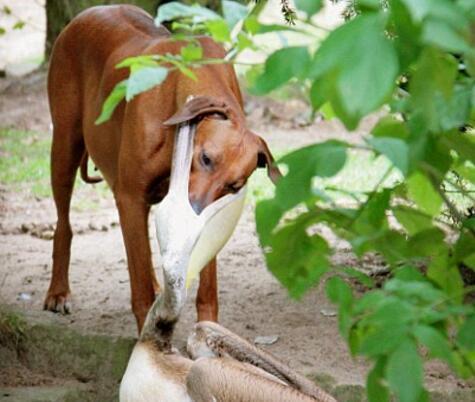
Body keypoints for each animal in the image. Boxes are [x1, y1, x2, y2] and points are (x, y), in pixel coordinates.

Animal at [45, 4, 278, 332]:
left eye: (233, 185)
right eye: (205, 158)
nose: (194, 209)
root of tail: (88, 12)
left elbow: (207, 286)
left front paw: (207, 330)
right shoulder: (130, 198)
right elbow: (139, 285)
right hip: (65, 147)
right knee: (63, 224)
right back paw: (58, 291)